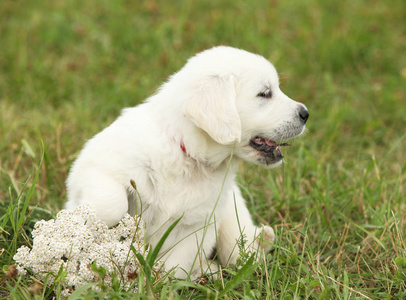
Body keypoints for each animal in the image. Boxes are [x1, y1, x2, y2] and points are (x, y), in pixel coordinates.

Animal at [65, 45, 310, 280]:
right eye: (265, 94)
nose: (306, 113)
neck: (188, 156)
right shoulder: (97, 166)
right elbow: (112, 206)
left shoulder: (200, 222)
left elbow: (175, 264)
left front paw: (156, 281)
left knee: (240, 252)